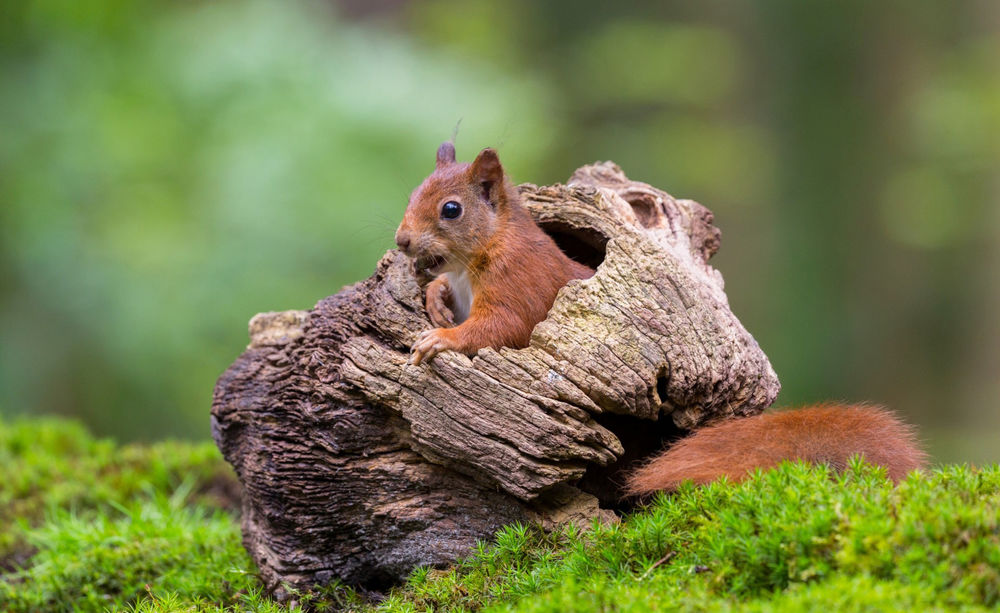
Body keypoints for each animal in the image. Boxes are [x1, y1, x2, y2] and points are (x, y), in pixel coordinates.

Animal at [395, 143, 928, 494]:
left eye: (451, 209)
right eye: (413, 193)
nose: (401, 241)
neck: (478, 255)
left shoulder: (519, 286)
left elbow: (499, 328)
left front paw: (441, 339)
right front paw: (437, 298)